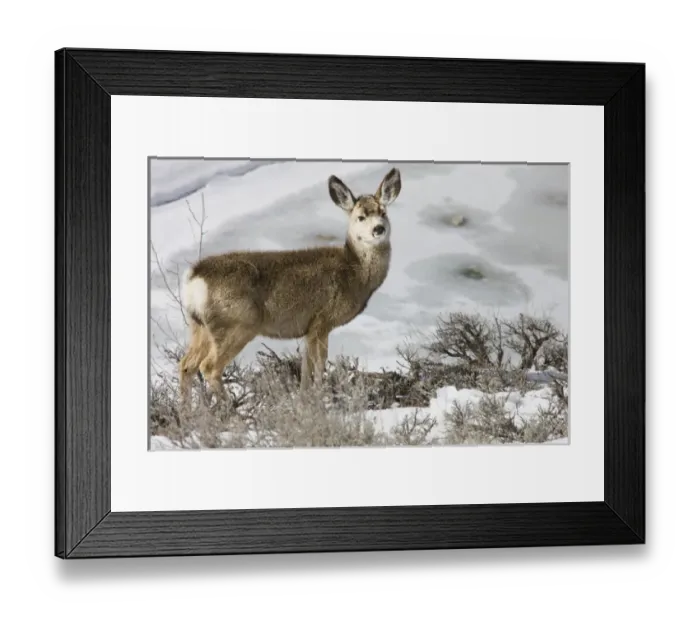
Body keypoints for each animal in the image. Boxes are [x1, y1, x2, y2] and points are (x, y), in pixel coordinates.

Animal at [178, 167, 402, 407]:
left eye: (383, 213)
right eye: (360, 217)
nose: (378, 229)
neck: (354, 272)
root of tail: (194, 278)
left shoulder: (309, 326)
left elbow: (305, 366)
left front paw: (305, 399)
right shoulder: (322, 319)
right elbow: (319, 363)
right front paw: (318, 400)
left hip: (199, 325)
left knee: (186, 365)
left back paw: (189, 412)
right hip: (236, 323)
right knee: (209, 367)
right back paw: (231, 409)